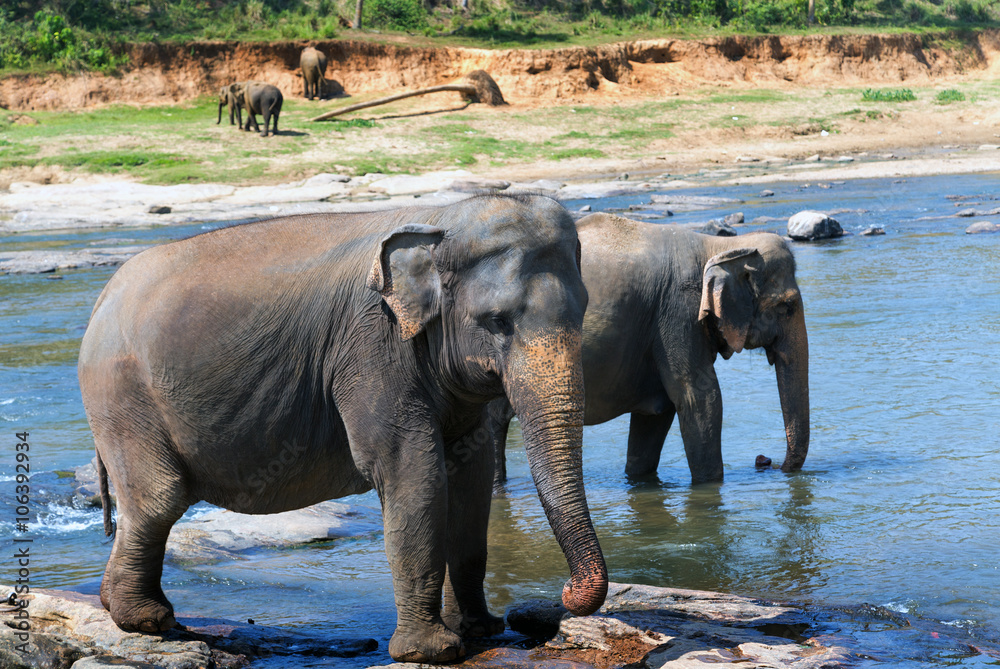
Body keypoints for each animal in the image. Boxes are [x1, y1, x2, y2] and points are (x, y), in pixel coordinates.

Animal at [78, 193, 604, 664]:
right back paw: (147, 620)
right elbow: (412, 472)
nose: (563, 594)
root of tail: (102, 298)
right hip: (121, 397)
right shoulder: (372, 348)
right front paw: (434, 652)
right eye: (497, 322)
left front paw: (480, 631)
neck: (439, 219)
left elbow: (470, 479)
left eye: (584, 310)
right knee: (160, 498)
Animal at [492, 213, 812, 486]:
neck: (720, 246)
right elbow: (700, 398)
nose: (765, 461)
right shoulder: (678, 313)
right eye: (787, 307)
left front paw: (640, 482)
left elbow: (657, 413)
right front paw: (710, 486)